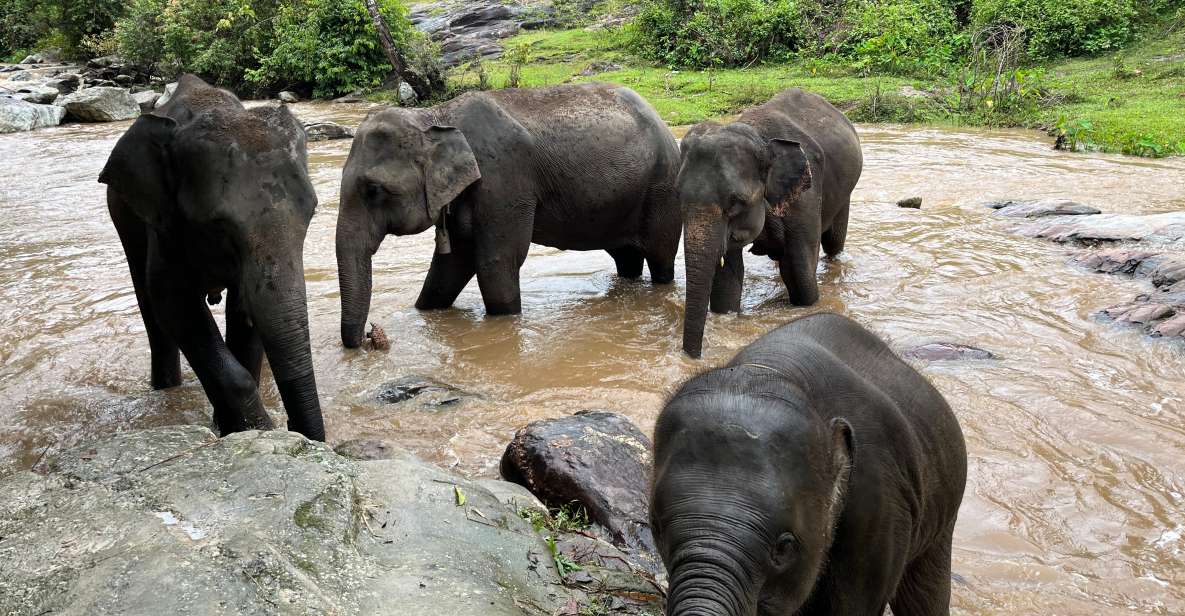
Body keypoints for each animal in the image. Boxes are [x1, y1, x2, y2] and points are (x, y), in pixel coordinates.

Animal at [99, 74, 325, 441]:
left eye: (312, 212)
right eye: (218, 224)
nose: (296, 429)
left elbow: (244, 311)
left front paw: (233, 428)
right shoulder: (165, 223)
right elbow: (173, 305)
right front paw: (255, 429)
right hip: (124, 211)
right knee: (149, 304)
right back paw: (164, 388)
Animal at [336, 83, 682, 348]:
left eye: (373, 190)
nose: (369, 338)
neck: (436, 115)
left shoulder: (503, 180)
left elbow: (496, 262)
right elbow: (450, 265)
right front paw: (424, 312)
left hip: (661, 189)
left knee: (661, 257)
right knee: (627, 258)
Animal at [678, 88, 863, 357]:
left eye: (736, 203)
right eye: (677, 196)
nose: (693, 358)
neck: (759, 138)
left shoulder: (805, 199)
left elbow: (800, 273)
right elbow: (727, 278)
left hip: (844, 193)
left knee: (833, 243)